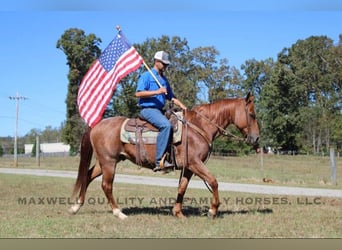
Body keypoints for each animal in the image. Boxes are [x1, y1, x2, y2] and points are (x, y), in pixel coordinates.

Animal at [69, 92, 260, 219]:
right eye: (252, 114)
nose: (256, 138)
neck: (199, 126)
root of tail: (96, 125)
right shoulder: (195, 163)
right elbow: (213, 181)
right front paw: (213, 210)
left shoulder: (188, 167)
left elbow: (182, 187)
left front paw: (178, 213)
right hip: (109, 162)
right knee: (106, 185)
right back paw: (118, 213)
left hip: (106, 161)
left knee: (87, 176)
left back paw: (76, 207)